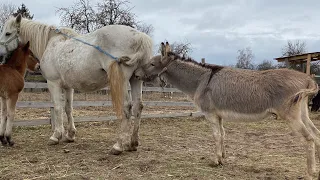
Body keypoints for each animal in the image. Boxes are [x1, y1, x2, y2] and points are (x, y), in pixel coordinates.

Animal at [0, 14, 153, 155]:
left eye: (7, 33)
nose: (0, 54)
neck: (51, 43)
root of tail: (140, 38)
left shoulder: (53, 83)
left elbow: (58, 108)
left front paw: (56, 136)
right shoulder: (68, 86)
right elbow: (68, 108)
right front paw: (70, 135)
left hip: (121, 80)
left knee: (127, 107)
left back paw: (118, 145)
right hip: (136, 79)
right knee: (138, 106)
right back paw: (133, 143)